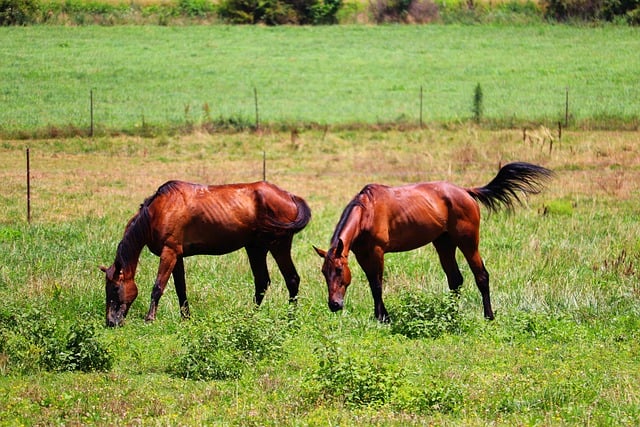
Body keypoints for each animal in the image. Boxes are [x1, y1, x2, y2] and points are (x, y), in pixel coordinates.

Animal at [100, 181, 310, 328]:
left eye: (115, 288)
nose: (111, 322)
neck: (159, 210)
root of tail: (290, 196)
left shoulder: (169, 252)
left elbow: (158, 287)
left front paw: (149, 319)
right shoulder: (177, 256)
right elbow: (181, 289)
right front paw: (186, 317)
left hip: (278, 246)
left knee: (292, 279)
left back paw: (290, 318)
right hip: (256, 249)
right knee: (262, 282)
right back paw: (250, 316)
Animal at [314, 162, 552, 322]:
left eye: (338, 270)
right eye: (324, 272)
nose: (334, 305)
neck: (367, 212)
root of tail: (466, 192)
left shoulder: (376, 252)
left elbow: (378, 285)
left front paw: (383, 318)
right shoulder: (362, 254)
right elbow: (373, 284)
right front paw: (380, 316)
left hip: (468, 242)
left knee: (481, 276)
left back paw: (489, 316)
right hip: (444, 244)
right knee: (455, 280)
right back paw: (451, 314)